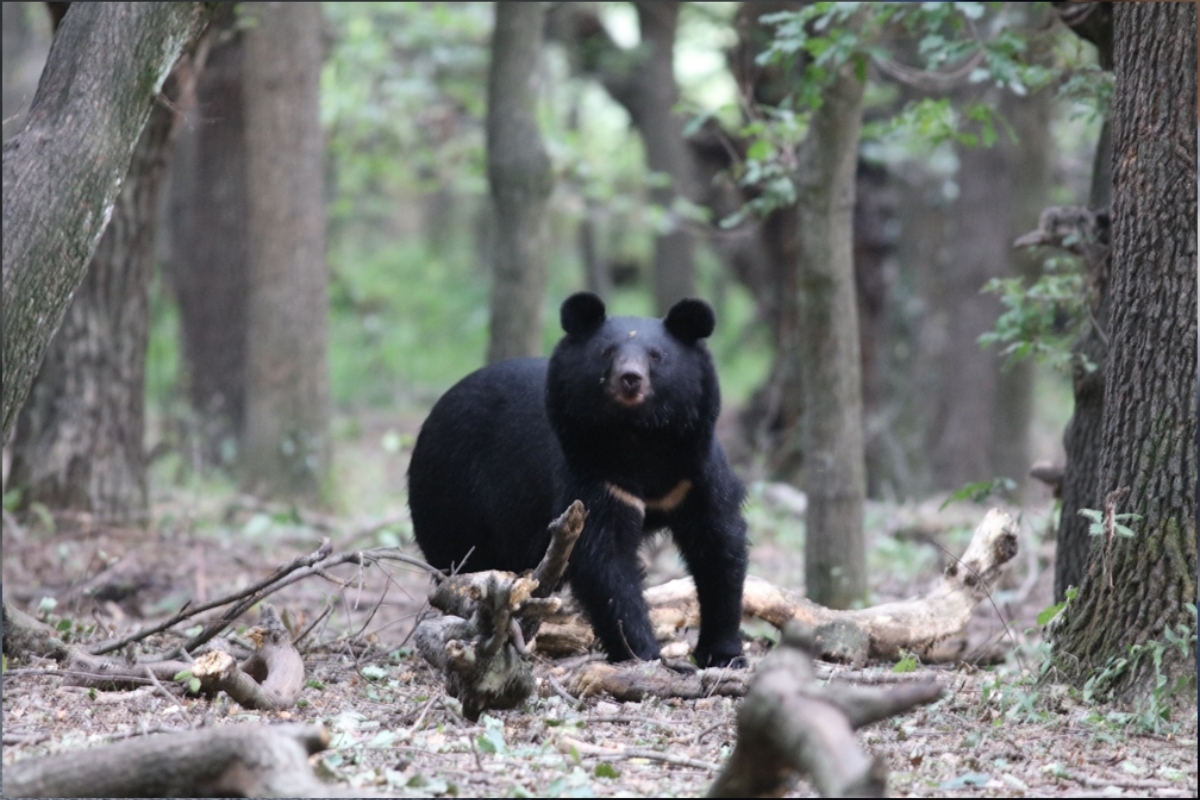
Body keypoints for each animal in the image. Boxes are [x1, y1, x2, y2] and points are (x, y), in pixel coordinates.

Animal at [407, 292, 748, 668]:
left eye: (657, 355)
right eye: (607, 352)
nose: (630, 379)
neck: (638, 436)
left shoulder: (692, 472)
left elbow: (718, 544)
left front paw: (724, 653)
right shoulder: (591, 475)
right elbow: (605, 559)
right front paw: (641, 652)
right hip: (450, 494)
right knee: (459, 560)